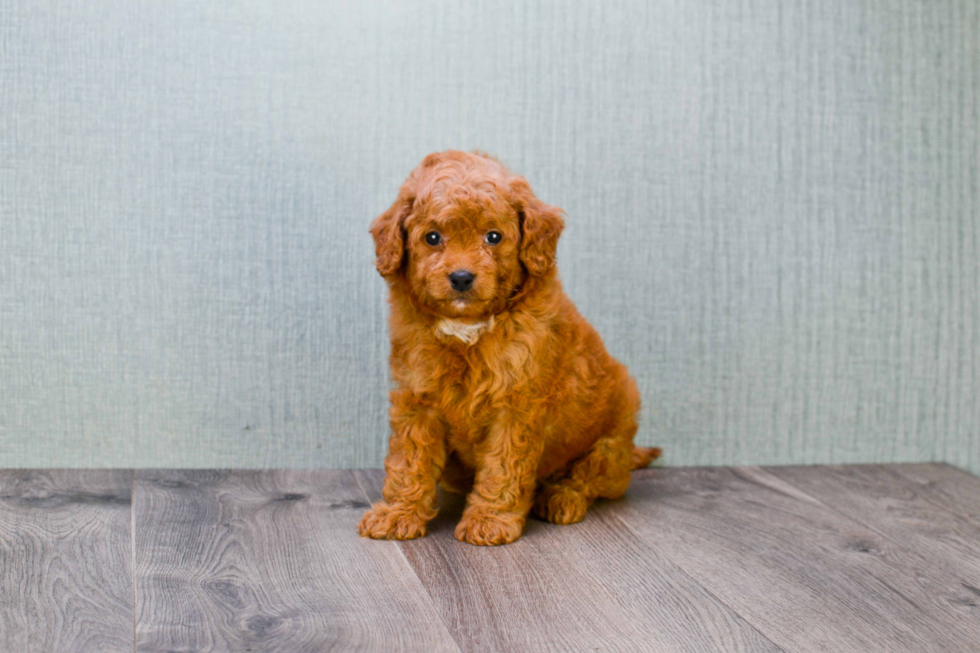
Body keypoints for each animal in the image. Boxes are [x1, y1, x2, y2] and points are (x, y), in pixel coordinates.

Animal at [360, 150, 660, 544]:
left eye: (493, 237)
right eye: (432, 237)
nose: (461, 277)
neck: (468, 327)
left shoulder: (516, 405)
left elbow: (504, 464)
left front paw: (490, 519)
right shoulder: (417, 399)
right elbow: (409, 460)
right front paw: (397, 513)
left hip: (614, 431)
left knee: (592, 477)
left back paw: (560, 497)